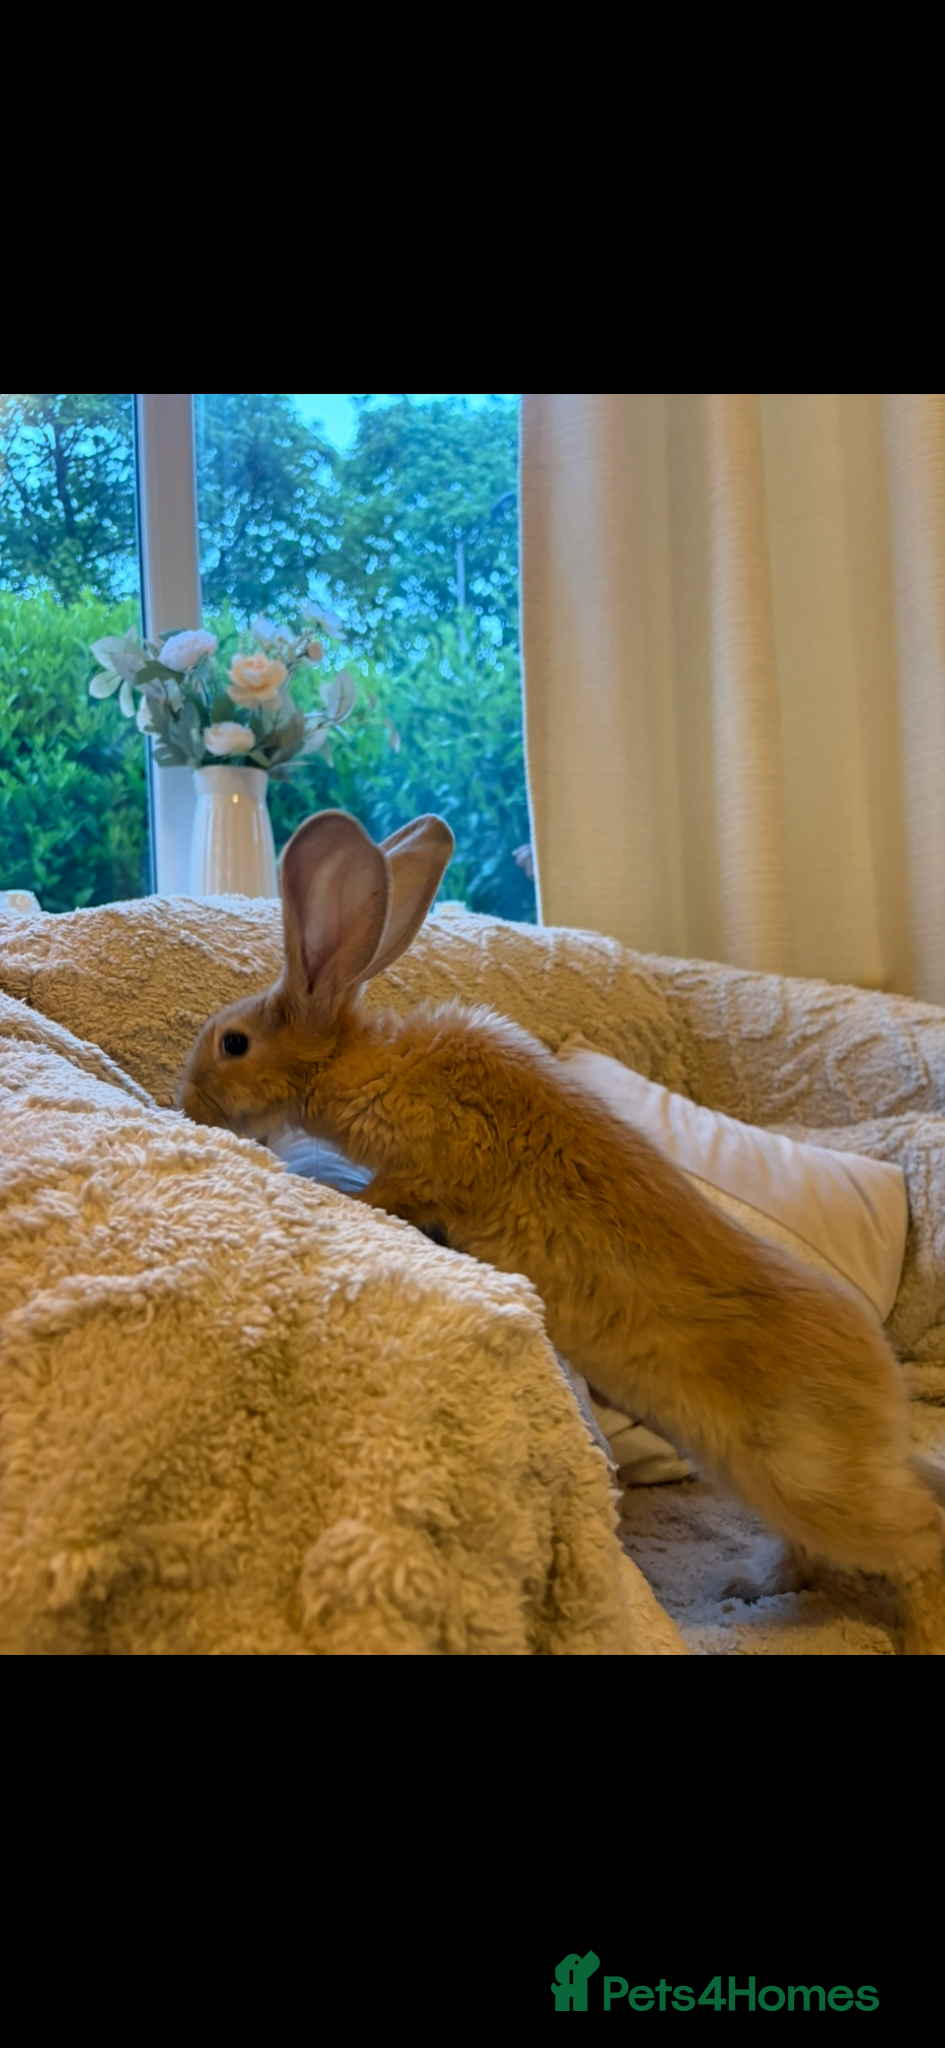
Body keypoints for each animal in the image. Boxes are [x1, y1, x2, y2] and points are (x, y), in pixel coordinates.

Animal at [176, 808, 945, 1653]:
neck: (359, 1066)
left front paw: (325, 1184)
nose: (185, 1101)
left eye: (233, 1042)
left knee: (921, 1539)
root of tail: (883, 1397)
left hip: (809, 1481)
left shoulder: (432, 1167)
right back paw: (746, 1587)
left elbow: (391, 1193)